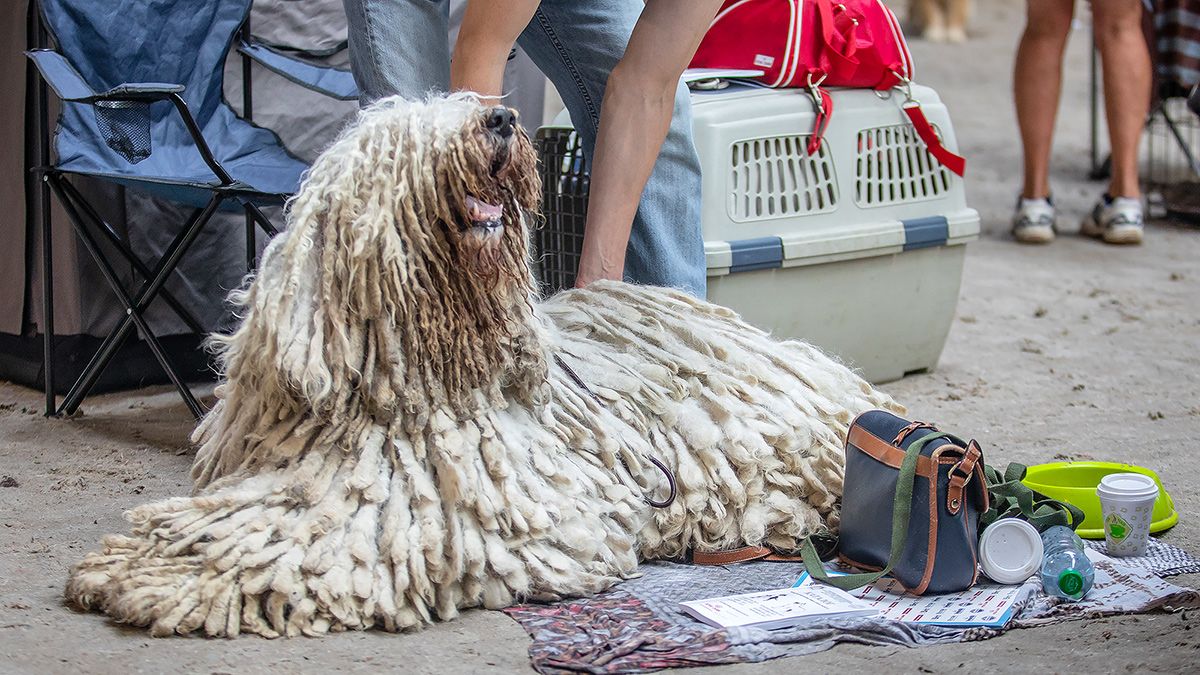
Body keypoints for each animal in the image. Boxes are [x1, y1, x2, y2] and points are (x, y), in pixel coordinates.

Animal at [60, 96, 897, 634]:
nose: (500, 119)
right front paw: (146, 560)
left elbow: (306, 550)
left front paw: (176, 579)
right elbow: (232, 523)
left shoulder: (459, 517)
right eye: (401, 141)